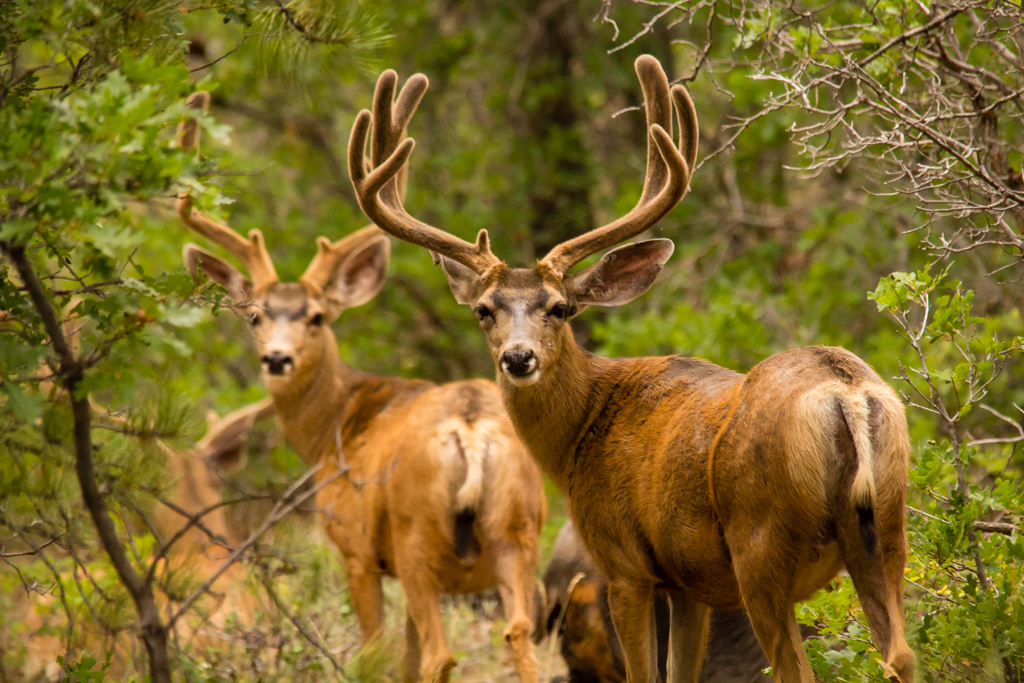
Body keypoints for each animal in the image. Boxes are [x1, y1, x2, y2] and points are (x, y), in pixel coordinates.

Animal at [172, 85, 548, 683]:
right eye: (254, 315)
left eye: (316, 317)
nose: (276, 359)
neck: (337, 425)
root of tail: (470, 432)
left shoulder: (353, 549)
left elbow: (379, 654)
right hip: (519, 532)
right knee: (520, 637)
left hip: (417, 542)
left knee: (441, 655)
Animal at [348, 54, 917, 683]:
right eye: (483, 310)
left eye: (560, 307)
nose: (518, 357)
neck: (582, 430)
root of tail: (848, 394)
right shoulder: (690, 582)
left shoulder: (622, 563)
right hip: (887, 528)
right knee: (901, 653)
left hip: (760, 545)